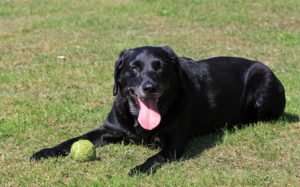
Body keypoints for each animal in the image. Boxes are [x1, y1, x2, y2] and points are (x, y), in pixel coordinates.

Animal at [30, 46, 286, 176]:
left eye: (161, 67)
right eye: (134, 67)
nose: (150, 87)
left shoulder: (174, 143)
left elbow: (156, 156)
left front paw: (140, 168)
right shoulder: (108, 129)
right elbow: (72, 140)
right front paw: (45, 152)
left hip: (263, 83)